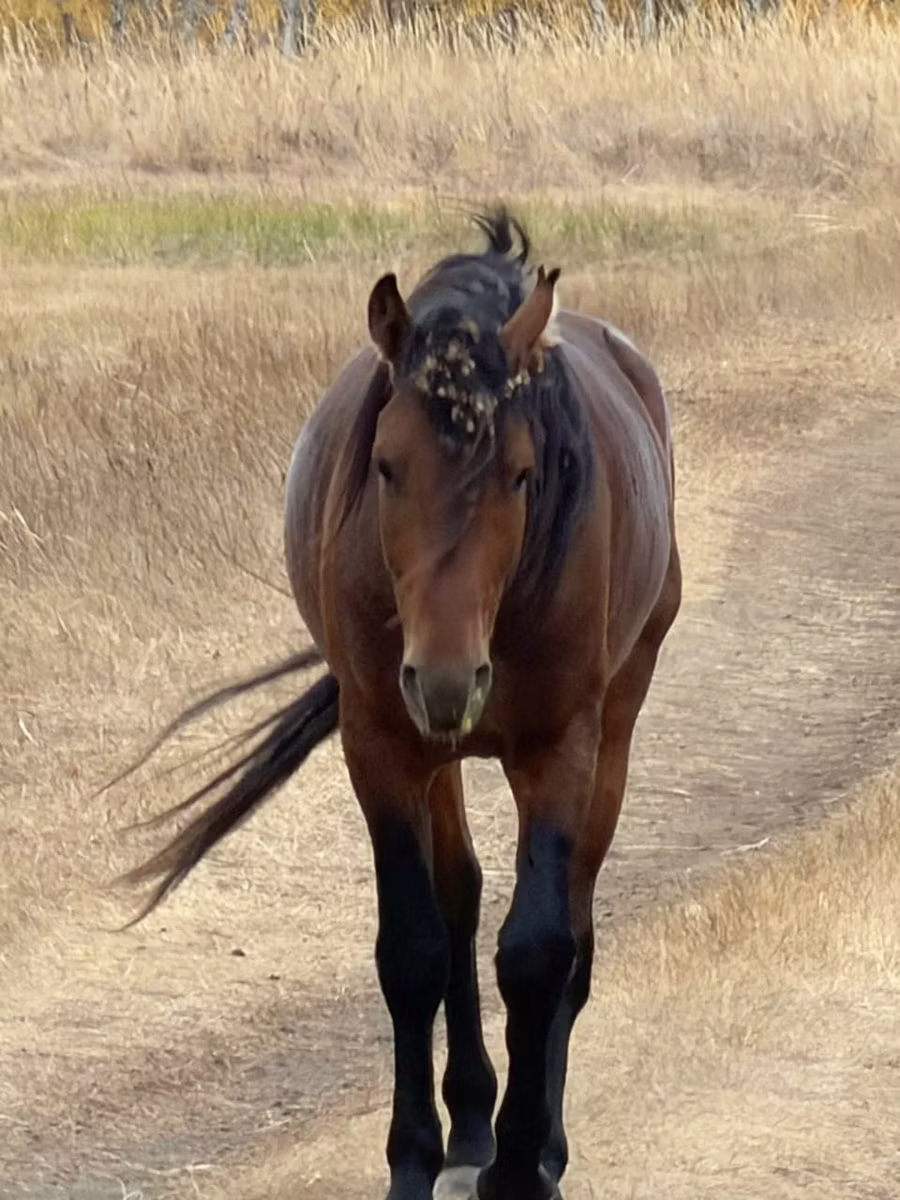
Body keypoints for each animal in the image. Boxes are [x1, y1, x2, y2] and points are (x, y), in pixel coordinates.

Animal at [119, 208, 682, 1200]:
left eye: (523, 475)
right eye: (386, 466)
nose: (449, 678)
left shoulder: (559, 748)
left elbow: (539, 953)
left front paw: (523, 1165)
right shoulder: (381, 743)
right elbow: (415, 949)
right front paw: (418, 1154)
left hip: (613, 719)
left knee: (573, 925)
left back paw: (540, 1140)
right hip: (435, 749)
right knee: (460, 896)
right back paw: (471, 1120)